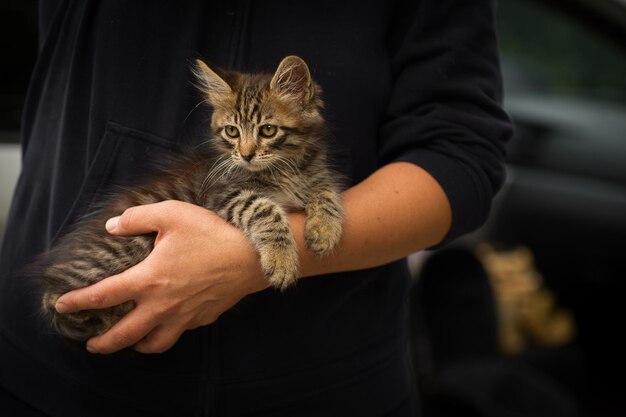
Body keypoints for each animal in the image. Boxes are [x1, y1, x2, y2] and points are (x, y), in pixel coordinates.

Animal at [32, 55, 344, 342]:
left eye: (268, 130)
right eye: (232, 131)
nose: (246, 155)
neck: (287, 168)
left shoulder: (314, 175)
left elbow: (327, 190)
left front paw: (325, 229)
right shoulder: (223, 194)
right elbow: (265, 209)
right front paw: (281, 260)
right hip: (126, 247)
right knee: (55, 301)